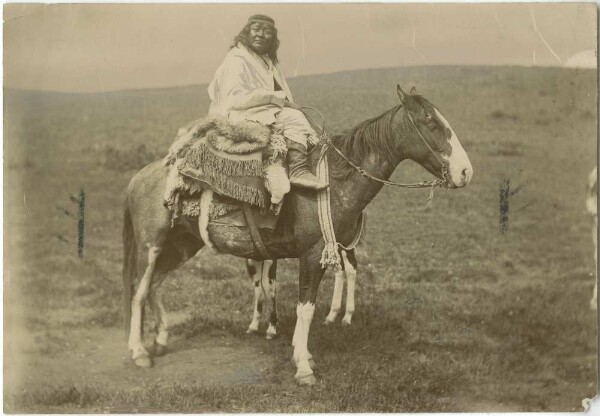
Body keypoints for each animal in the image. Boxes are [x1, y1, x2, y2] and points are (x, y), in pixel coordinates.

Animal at [123, 85, 474, 386]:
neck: (335, 182)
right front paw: (304, 366)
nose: (465, 172)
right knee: (139, 292)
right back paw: (139, 352)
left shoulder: (326, 250)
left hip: (181, 246)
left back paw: (161, 339)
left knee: (154, 287)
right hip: (151, 247)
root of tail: (139, 177)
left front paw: (300, 352)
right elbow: (305, 308)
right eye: (430, 121)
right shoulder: (312, 254)